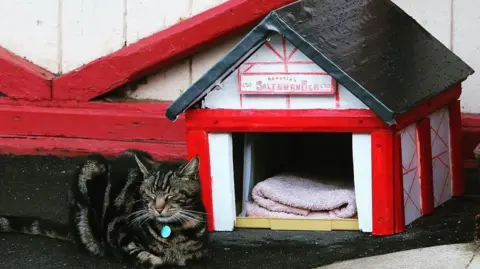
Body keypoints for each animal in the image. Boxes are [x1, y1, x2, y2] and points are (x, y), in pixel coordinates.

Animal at [0, 150, 208, 266]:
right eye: (149, 195)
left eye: (170, 195)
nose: (157, 209)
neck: (176, 231)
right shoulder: (121, 238)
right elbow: (149, 258)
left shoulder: (197, 252)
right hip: (90, 166)